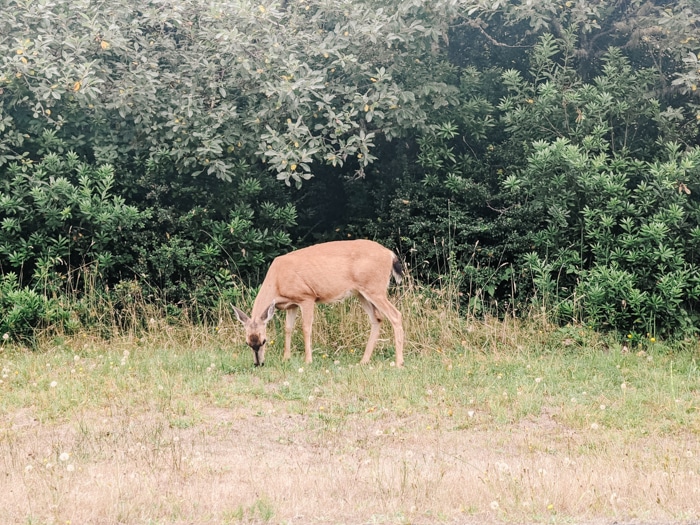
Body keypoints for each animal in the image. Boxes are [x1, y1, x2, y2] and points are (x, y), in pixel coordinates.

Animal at [232, 239, 405, 368]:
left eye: (264, 340)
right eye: (247, 342)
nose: (258, 363)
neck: (277, 282)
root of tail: (389, 254)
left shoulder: (306, 296)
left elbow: (306, 328)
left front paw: (308, 360)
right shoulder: (291, 304)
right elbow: (288, 329)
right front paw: (286, 358)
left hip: (375, 288)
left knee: (395, 315)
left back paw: (398, 363)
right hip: (361, 292)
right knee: (377, 318)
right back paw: (364, 360)